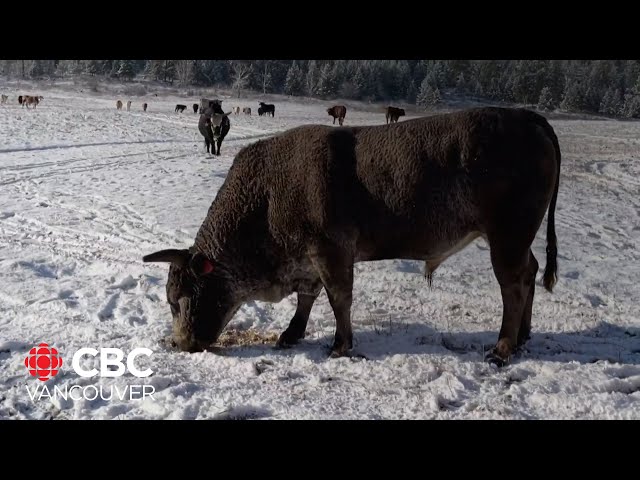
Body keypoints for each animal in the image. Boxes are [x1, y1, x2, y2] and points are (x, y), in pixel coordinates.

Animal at [144, 107, 560, 366]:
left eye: (178, 299)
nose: (180, 343)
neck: (266, 195)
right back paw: (523, 336)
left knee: (514, 285)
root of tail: (529, 117)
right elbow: (307, 298)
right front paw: (292, 333)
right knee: (530, 271)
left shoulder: (331, 251)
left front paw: (340, 344)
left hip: (508, 235)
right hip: (512, 239)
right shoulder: (307, 259)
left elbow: (338, 298)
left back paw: (503, 347)